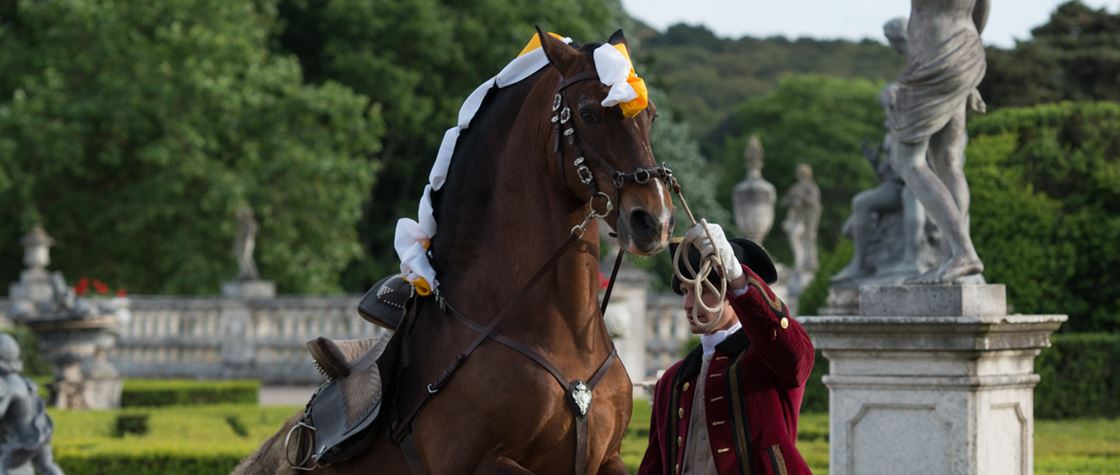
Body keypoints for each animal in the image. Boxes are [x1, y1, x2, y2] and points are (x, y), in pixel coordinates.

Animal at [236, 28, 674, 474]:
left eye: (650, 116)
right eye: (588, 114)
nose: (653, 220)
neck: (563, 340)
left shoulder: (607, 459)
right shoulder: (479, 462)